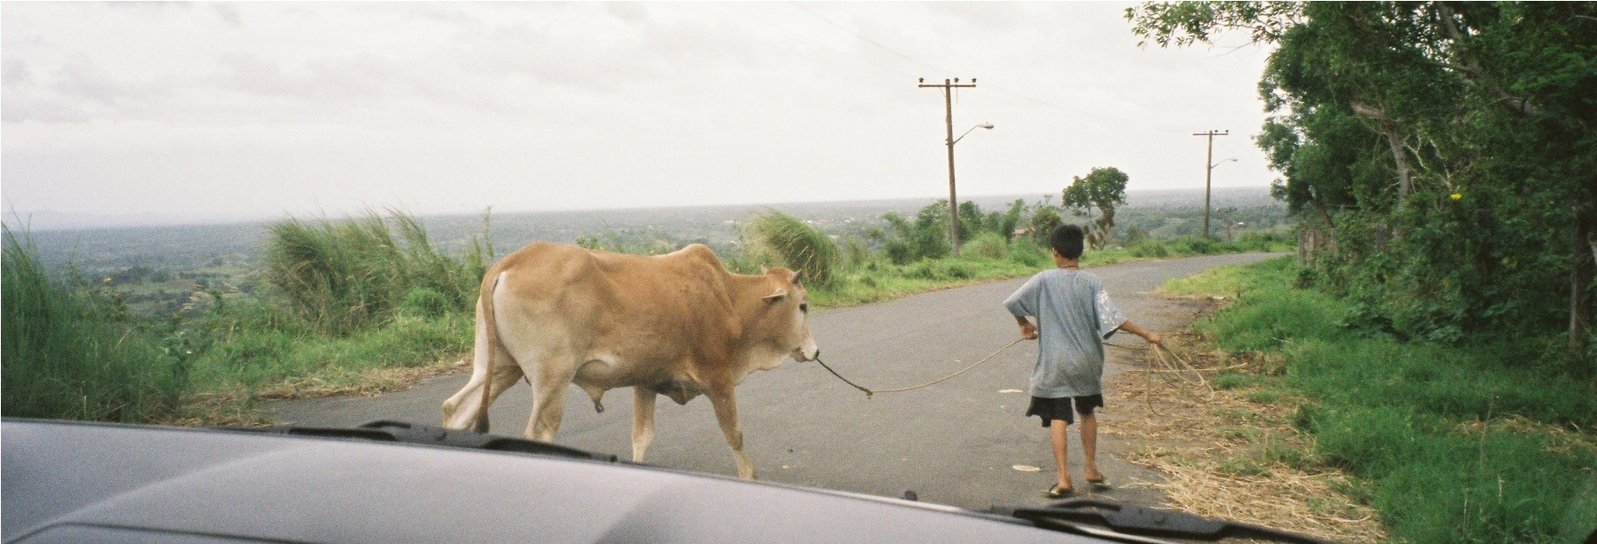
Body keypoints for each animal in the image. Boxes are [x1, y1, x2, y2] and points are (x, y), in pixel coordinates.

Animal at [440, 240, 824, 478]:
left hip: (499, 367)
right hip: (552, 379)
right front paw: (750, 475)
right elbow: (735, 433)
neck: (728, 298)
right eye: (803, 305)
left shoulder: (646, 381)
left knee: (456, 408)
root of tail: (512, 261)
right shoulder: (718, 378)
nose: (815, 351)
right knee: (538, 431)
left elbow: (642, 437)